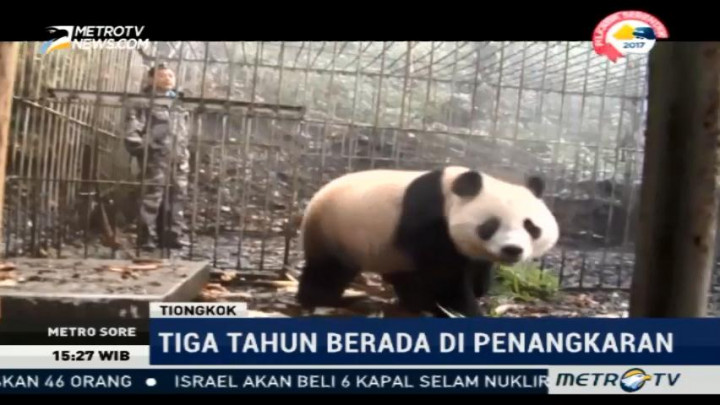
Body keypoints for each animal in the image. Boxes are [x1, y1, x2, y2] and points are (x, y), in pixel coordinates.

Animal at [296, 165, 560, 317]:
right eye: (490, 225)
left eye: (530, 226)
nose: (512, 249)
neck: (450, 193)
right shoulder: (429, 219)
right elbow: (445, 276)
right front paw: (463, 309)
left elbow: (474, 269)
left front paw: (478, 287)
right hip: (337, 232)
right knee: (329, 272)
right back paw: (331, 299)